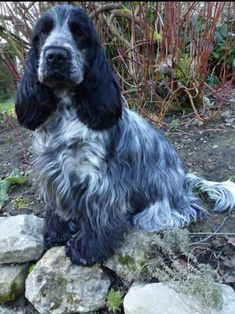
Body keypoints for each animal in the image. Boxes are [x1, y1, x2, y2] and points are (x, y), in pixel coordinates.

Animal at [15, 4, 234, 264]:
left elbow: (97, 216)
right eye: (43, 32)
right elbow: (58, 208)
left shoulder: (98, 179)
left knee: (180, 212)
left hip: (159, 201)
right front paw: (55, 234)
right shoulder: (53, 170)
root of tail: (184, 181)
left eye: (79, 32)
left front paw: (86, 250)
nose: (56, 55)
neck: (67, 110)